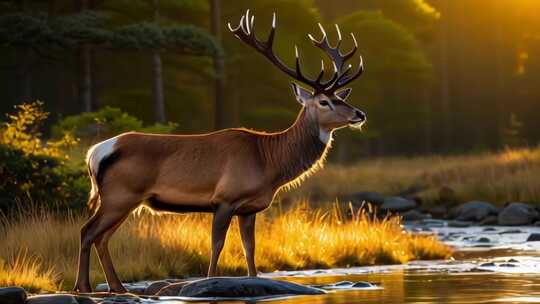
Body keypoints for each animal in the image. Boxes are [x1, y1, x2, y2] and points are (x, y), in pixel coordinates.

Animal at [73, 9, 368, 294]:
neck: (268, 162)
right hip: (120, 194)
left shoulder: (250, 208)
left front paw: (253, 280)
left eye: (342, 97)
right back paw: (84, 286)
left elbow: (250, 248)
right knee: (88, 231)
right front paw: (210, 281)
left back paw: (117, 287)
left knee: (102, 237)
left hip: (124, 199)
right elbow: (217, 244)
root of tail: (95, 153)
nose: (360, 114)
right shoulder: (225, 198)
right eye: (324, 101)